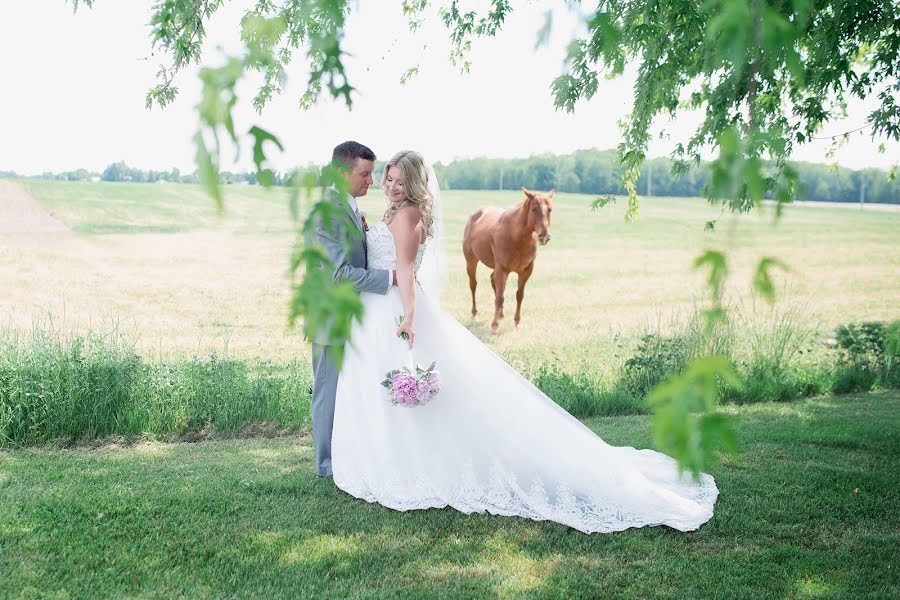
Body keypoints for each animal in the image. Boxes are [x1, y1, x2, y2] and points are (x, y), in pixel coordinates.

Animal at [468, 186, 552, 330]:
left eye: (550, 209)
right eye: (534, 208)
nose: (544, 236)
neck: (516, 236)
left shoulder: (526, 271)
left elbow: (519, 295)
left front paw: (517, 322)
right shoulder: (502, 269)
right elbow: (500, 297)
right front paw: (494, 326)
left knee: (493, 281)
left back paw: (501, 314)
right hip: (471, 260)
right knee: (473, 284)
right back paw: (475, 314)